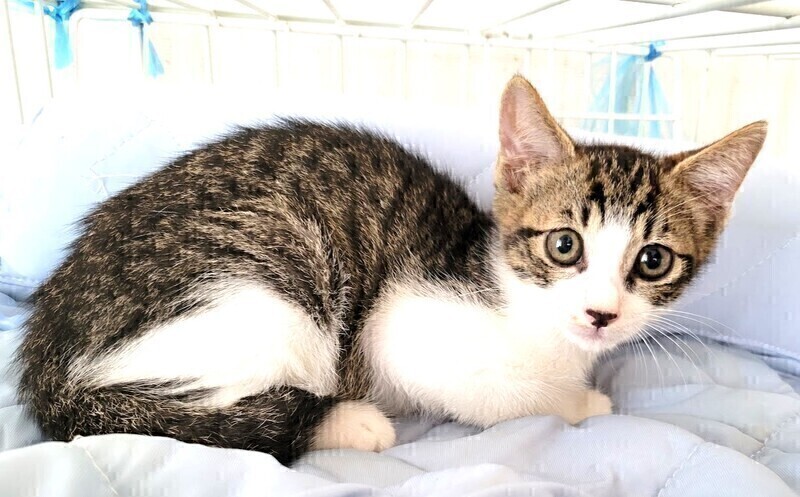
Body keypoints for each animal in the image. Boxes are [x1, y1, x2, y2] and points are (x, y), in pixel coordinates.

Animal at [17, 75, 766, 464]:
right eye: (564, 246)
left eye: (653, 260)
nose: (601, 314)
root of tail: (47, 344)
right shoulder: (403, 327)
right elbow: (509, 397)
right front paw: (581, 401)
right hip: (267, 287)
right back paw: (351, 422)